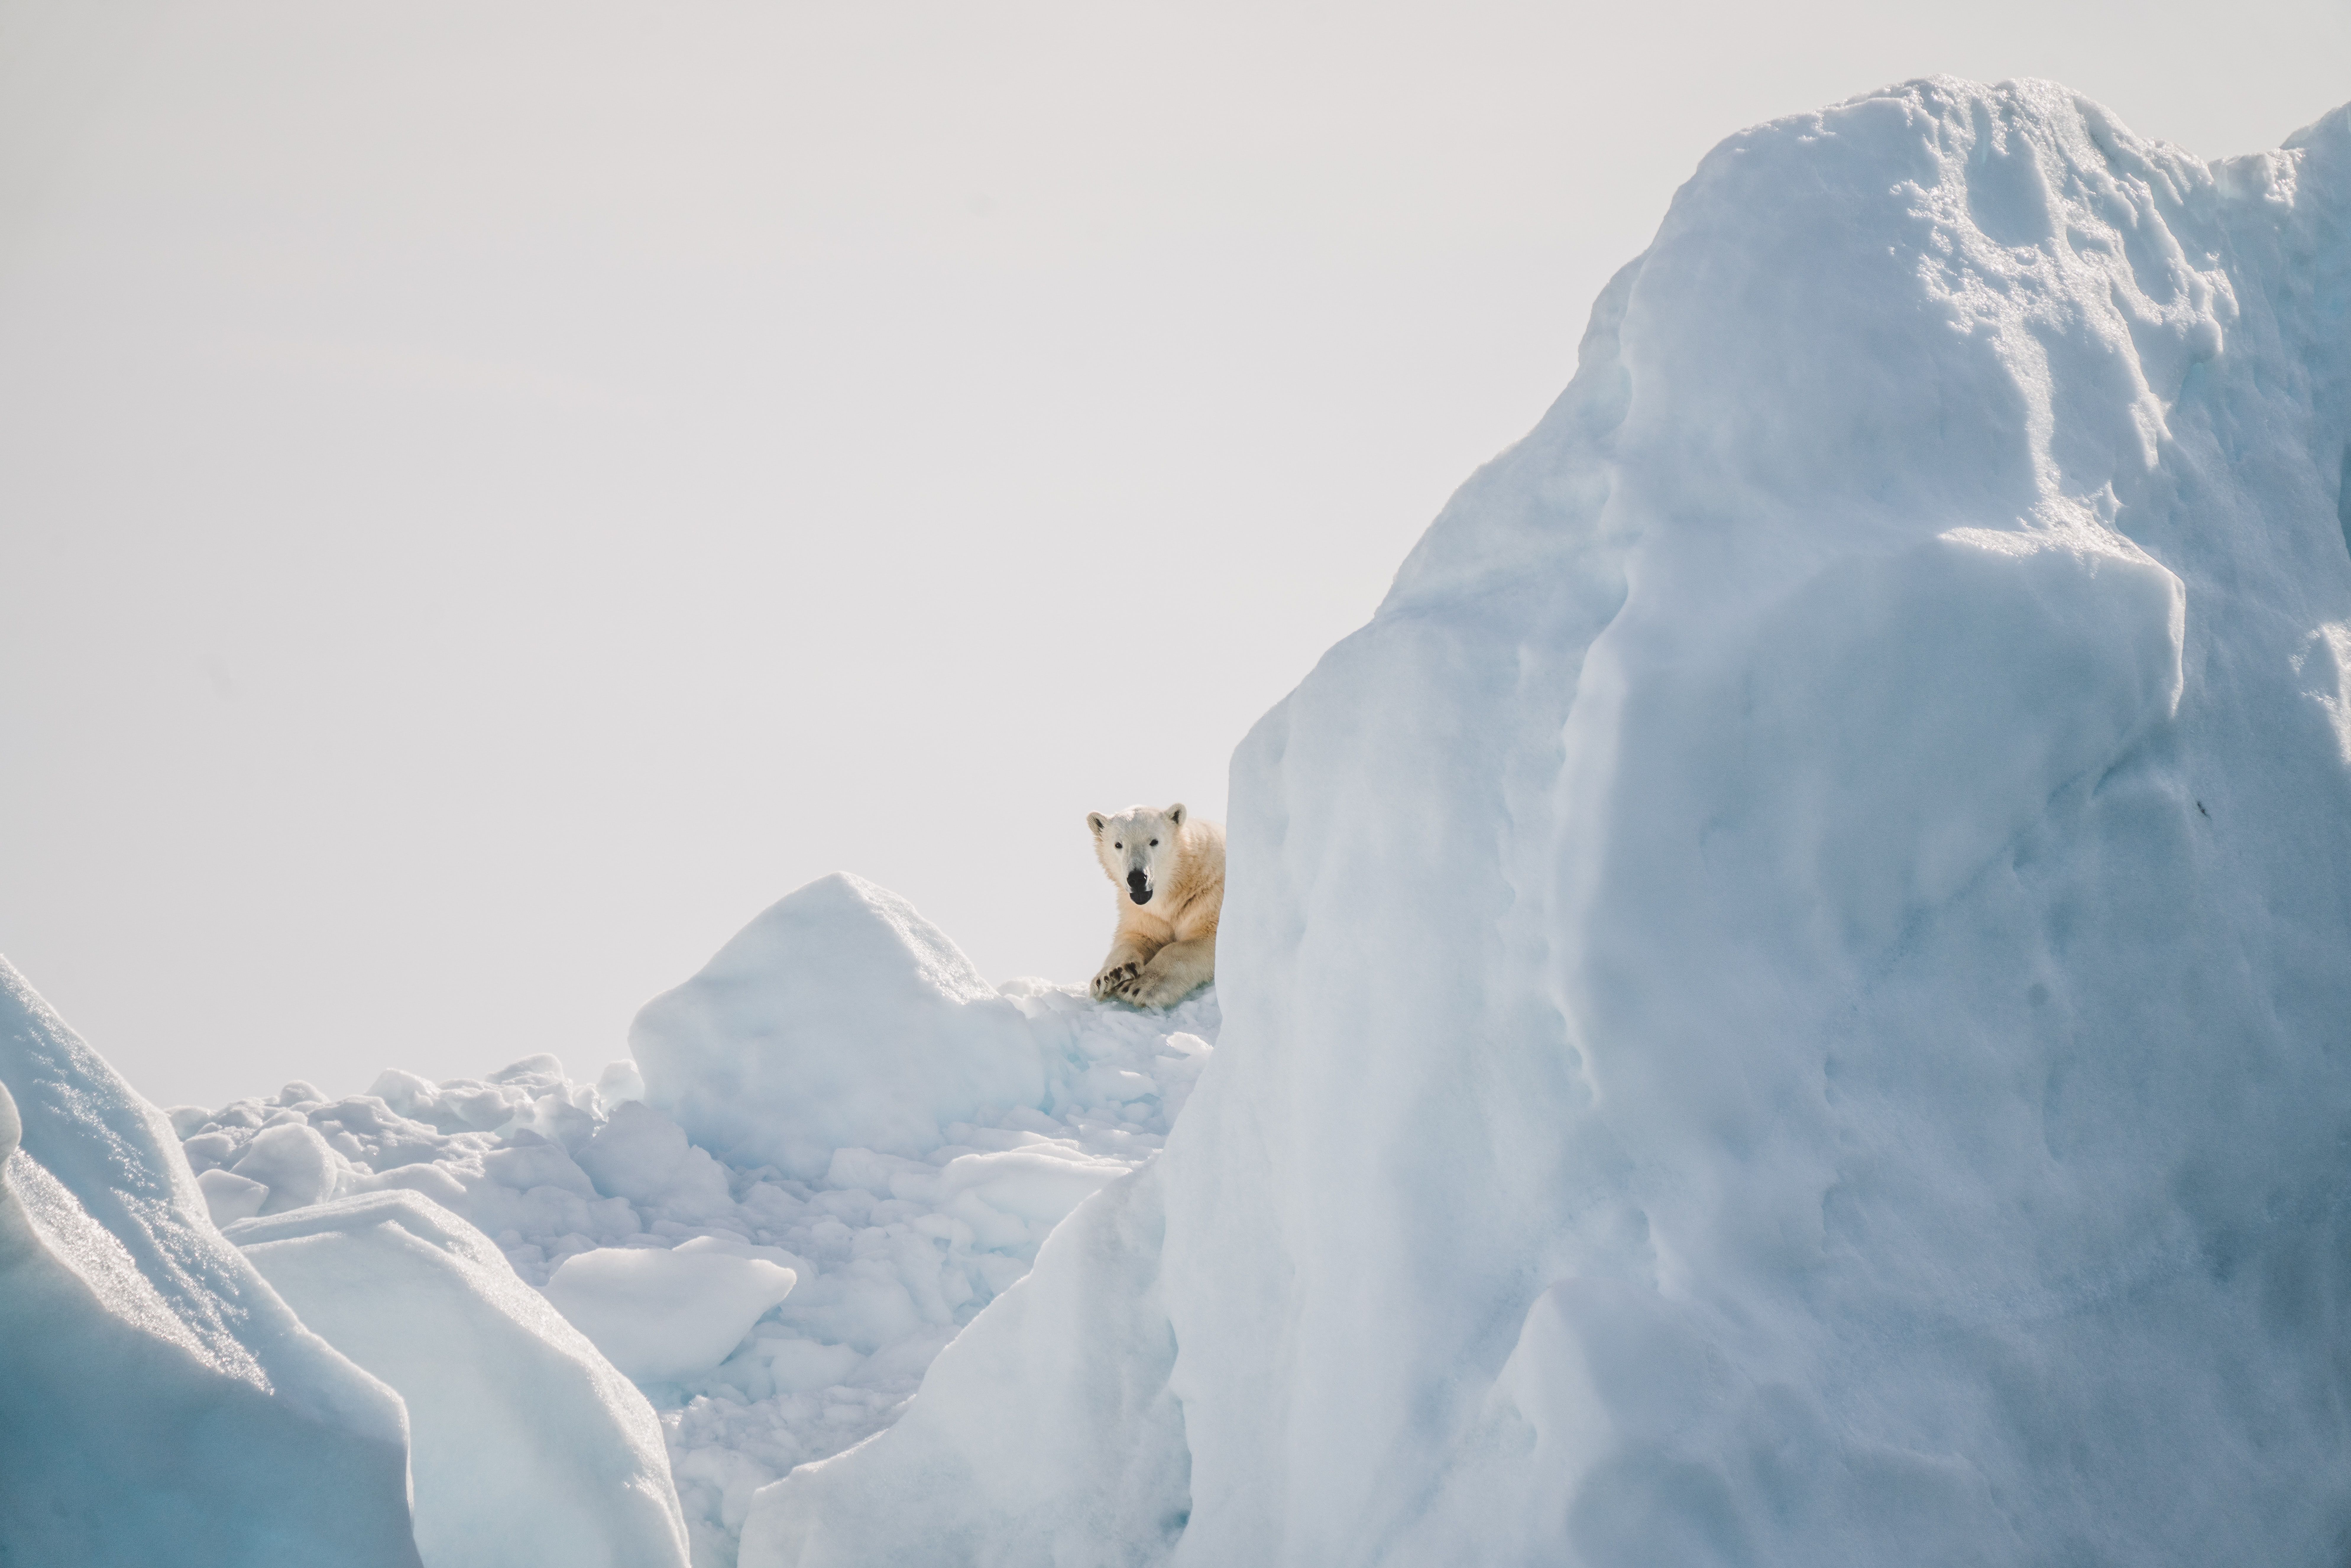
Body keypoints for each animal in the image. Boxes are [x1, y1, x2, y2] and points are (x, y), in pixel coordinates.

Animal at [1086, 802, 1224, 1007]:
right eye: (1118, 845)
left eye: (1154, 841)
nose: (1137, 878)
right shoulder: (1144, 913)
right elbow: (1138, 936)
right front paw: (1111, 976)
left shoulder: (1209, 897)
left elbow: (1198, 940)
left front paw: (1140, 987)